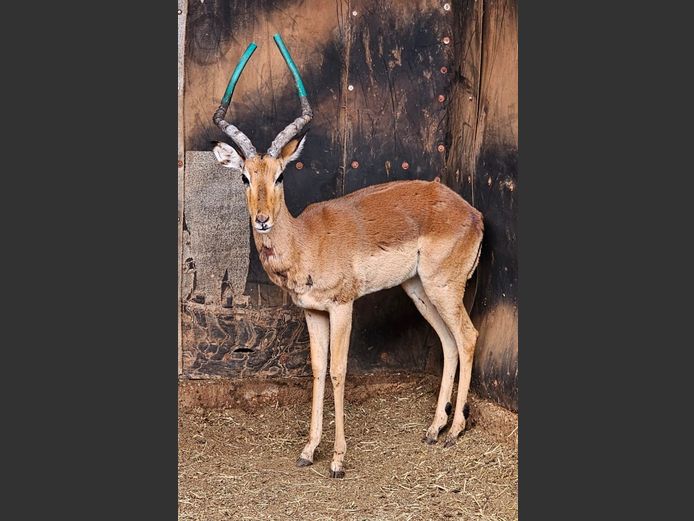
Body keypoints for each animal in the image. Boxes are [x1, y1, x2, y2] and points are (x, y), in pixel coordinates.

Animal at [212, 36, 483, 479]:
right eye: (244, 177)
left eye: (281, 174)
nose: (263, 220)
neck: (306, 240)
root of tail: (472, 213)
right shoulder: (313, 311)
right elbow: (318, 371)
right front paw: (309, 450)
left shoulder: (342, 306)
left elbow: (339, 372)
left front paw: (338, 460)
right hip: (419, 291)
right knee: (448, 341)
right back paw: (433, 429)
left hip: (443, 287)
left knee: (468, 336)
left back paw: (455, 430)